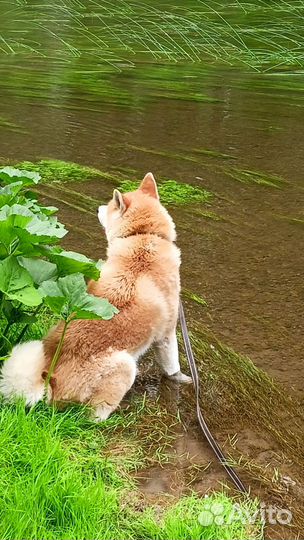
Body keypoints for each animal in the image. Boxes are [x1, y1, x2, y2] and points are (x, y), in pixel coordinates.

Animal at [0, 174, 190, 422]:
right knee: (93, 416)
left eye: (108, 206)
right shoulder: (166, 335)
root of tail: (50, 378)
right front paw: (183, 380)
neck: (143, 236)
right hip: (124, 366)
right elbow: (172, 367)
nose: (98, 207)